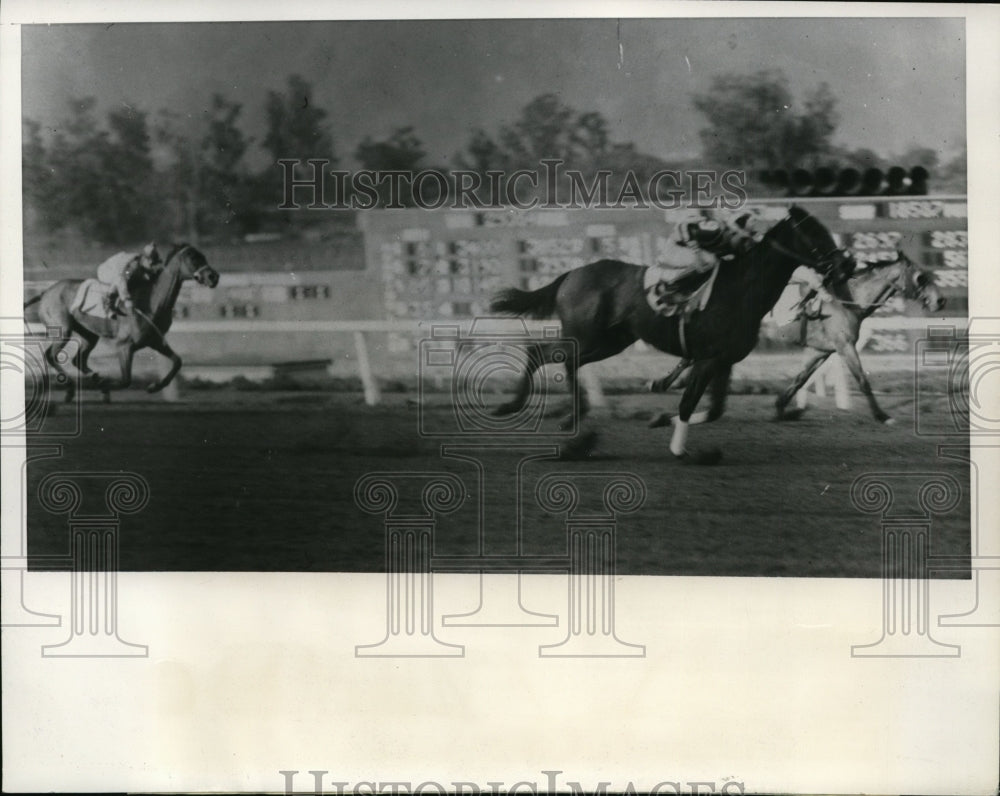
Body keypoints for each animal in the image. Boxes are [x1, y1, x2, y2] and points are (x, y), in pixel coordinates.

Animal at [23, 243, 219, 402]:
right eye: (193, 258)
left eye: (203, 256)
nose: (213, 277)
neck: (152, 301)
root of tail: (46, 291)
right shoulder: (124, 346)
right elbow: (126, 380)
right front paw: (105, 389)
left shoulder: (155, 341)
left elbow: (178, 361)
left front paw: (154, 386)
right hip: (63, 330)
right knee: (51, 355)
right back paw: (72, 388)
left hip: (89, 334)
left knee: (78, 359)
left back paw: (92, 378)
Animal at [488, 205, 856, 464]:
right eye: (815, 236)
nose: (846, 266)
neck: (741, 290)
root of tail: (571, 274)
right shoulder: (708, 359)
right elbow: (688, 402)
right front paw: (683, 451)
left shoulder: (724, 361)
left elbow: (714, 409)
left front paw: (661, 417)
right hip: (588, 335)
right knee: (545, 354)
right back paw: (524, 410)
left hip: (610, 341)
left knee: (558, 359)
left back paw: (567, 418)